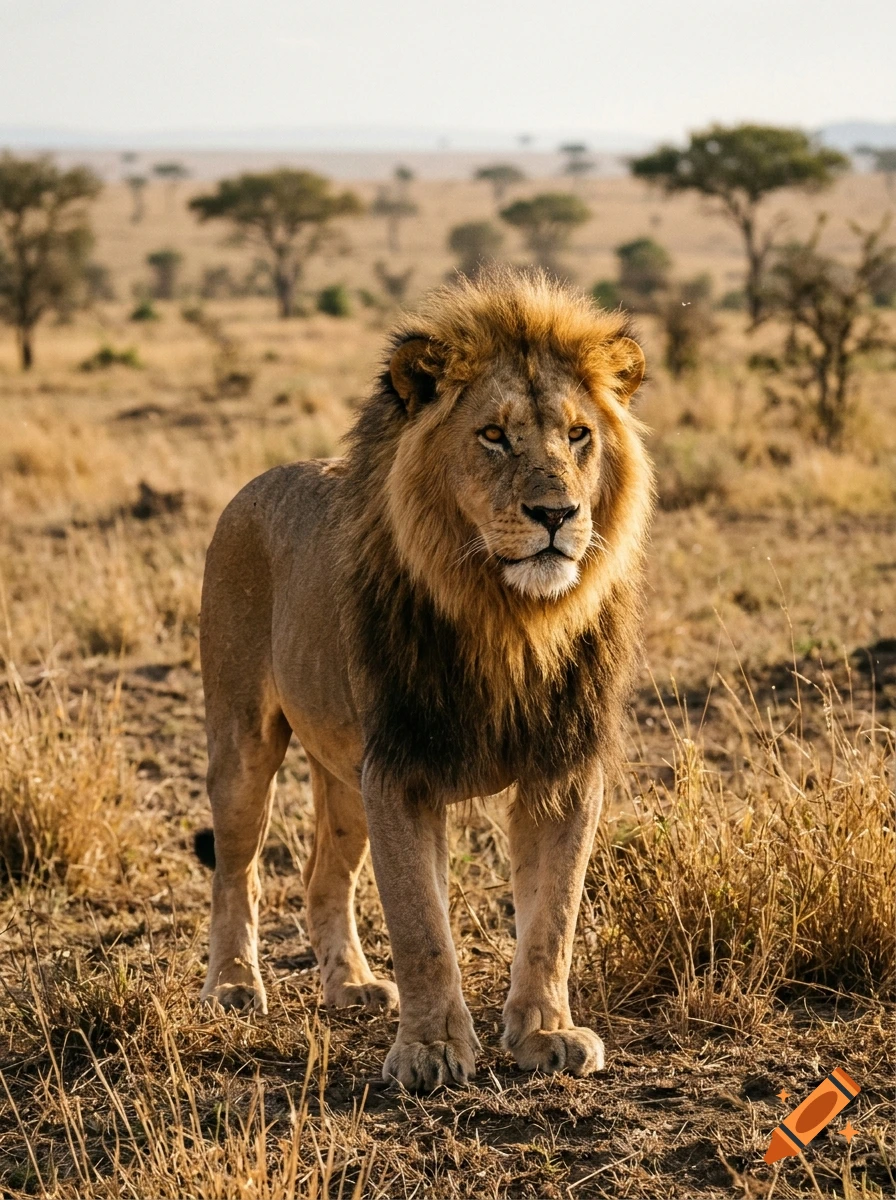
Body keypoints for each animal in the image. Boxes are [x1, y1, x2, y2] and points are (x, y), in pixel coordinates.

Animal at [197, 268, 654, 1090]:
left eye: (579, 435)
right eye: (494, 436)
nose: (556, 514)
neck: (508, 620)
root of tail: (258, 481)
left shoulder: (563, 770)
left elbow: (553, 918)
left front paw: (547, 1033)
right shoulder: (402, 770)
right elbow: (421, 926)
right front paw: (433, 1050)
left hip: (345, 776)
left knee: (323, 876)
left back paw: (349, 985)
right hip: (244, 740)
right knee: (236, 871)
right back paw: (233, 987)